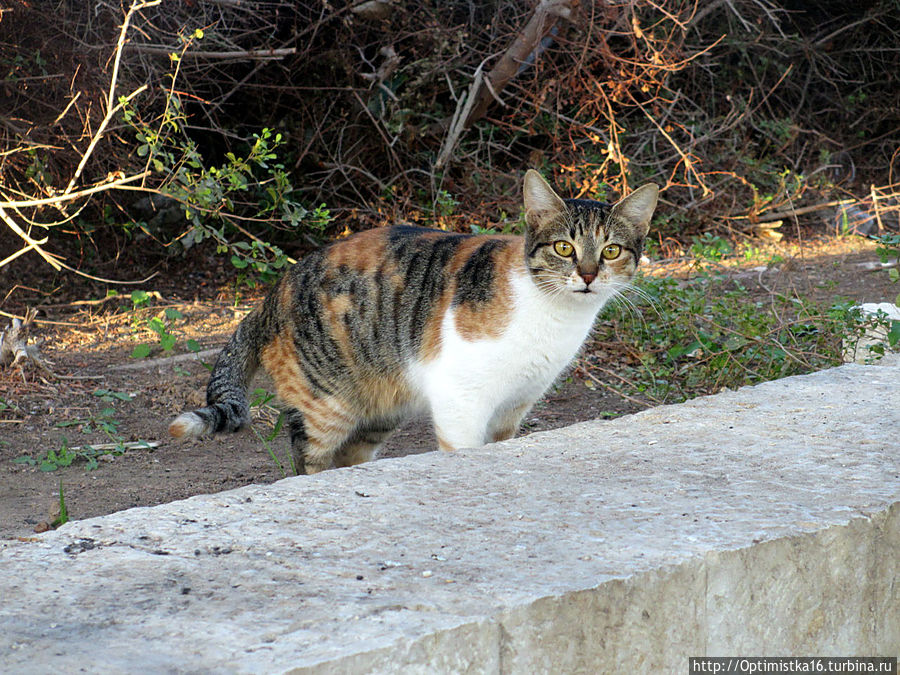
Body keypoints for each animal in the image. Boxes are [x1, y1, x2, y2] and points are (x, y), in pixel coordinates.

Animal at [171, 170, 660, 476]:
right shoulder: (461, 398)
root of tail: (274, 293)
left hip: (381, 408)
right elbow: (464, 447)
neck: (551, 311)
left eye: (611, 251)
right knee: (308, 462)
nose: (589, 275)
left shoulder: (514, 407)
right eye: (563, 248)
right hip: (324, 404)